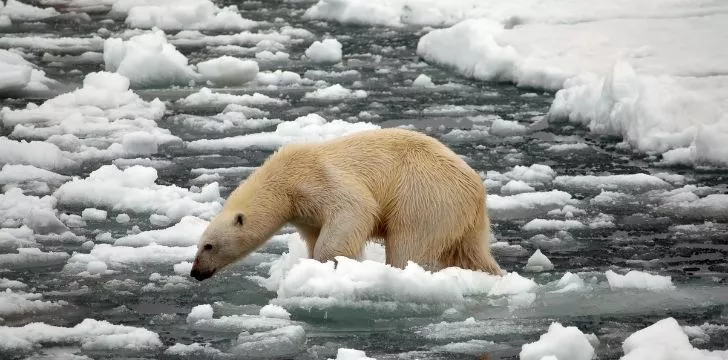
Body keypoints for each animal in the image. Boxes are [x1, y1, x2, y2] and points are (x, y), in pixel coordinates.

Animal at [191, 129, 504, 282]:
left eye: (208, 246)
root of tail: (477, 190)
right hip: (464, 218)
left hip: (424, 197)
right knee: (471, 252)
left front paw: (331, 263)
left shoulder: (318, 178)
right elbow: (314, 232)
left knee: (408, 244)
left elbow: (354, 208)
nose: (195, 273)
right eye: (200, 244)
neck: (284, 180)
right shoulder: (305, 213)